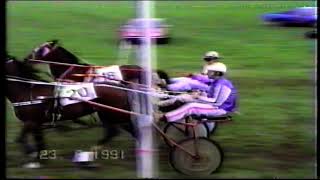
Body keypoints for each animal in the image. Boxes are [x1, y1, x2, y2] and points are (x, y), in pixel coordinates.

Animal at [5, 56, 141, 167]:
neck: (27, 92)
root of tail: (121, 87)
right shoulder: (37, 123)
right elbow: (39, 141)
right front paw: (40, 159)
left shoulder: (31, 121)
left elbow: (21, 139)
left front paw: (32, 158)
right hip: (109, 114)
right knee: (118, 132)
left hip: (113, 113)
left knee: (120, 131)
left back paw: (88, 158)